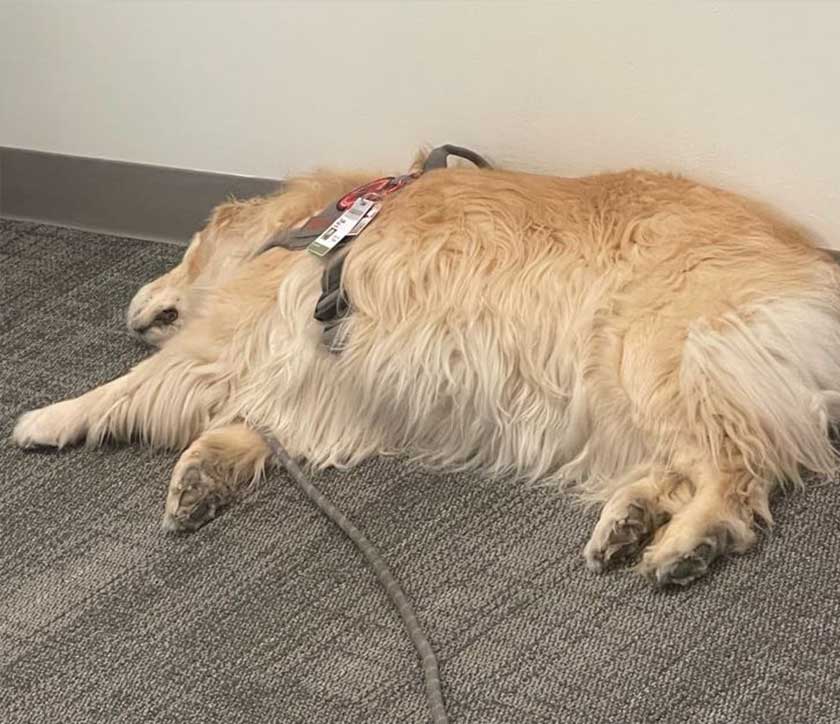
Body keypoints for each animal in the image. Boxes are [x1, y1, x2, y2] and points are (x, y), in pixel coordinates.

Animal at [13, 150, 840, 584]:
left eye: (184, 251)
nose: (130, 307)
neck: (310, 225)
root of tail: (812, 260)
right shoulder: (312, 383)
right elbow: (244, 427)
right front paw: (203, 476)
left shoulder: (227, 343)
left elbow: (132, 386)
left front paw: (48, 417)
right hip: (628, 388)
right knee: (688, 462)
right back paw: (630, 519)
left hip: (654, 352)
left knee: (736, 469)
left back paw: (689, 541)